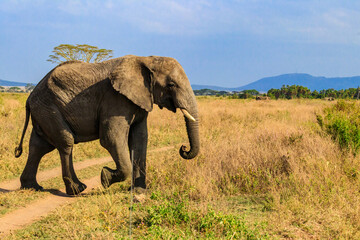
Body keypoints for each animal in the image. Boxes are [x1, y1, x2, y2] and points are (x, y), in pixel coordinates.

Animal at [14, 55, 200, 196]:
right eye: (171, 85)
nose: (183, 148)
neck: (147, 59)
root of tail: (29, 97)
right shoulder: (115, 99)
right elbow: (111, 139)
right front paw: (105, 178)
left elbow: (140, 139)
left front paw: (139, 192)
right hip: (49, 109)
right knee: (65, 142)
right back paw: (77, 189)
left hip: (42, 111)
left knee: (39, 146)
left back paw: (32, 187)